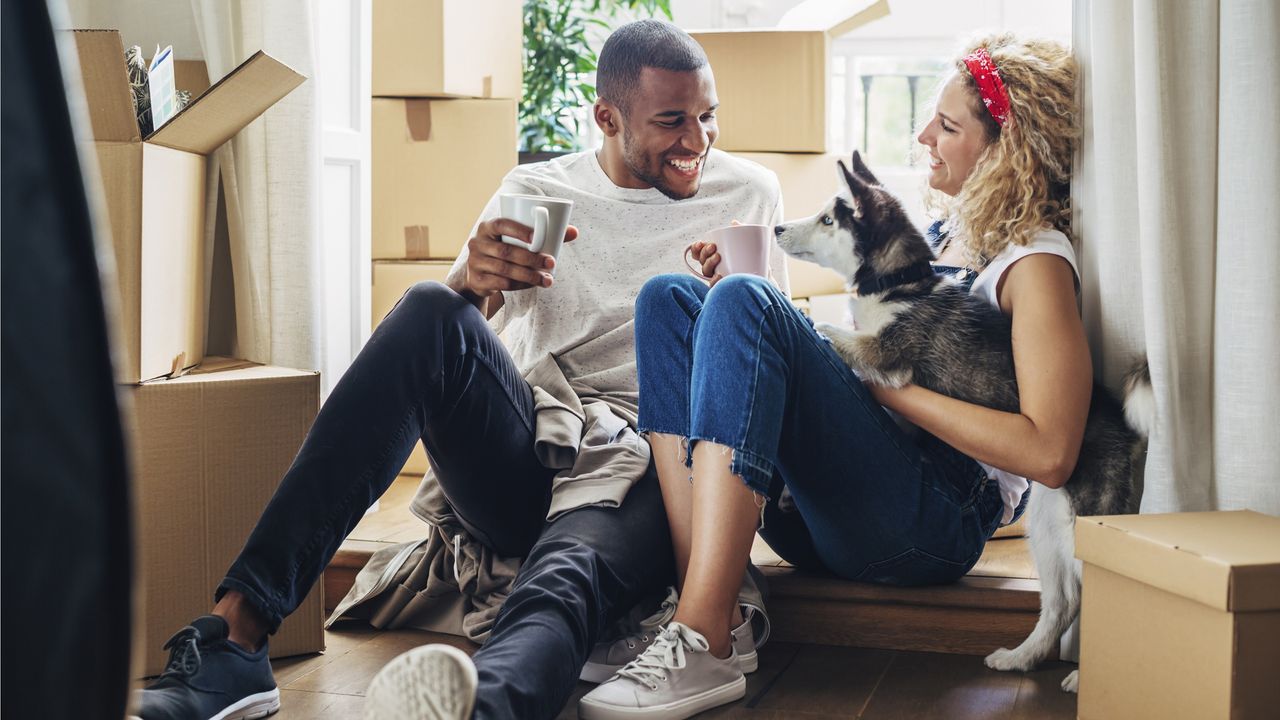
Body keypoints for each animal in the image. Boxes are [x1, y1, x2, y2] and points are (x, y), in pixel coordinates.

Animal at [773, 151, 1157, 691]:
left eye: (829, 219)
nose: (777, 228)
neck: (899, 285)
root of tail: (1123, 424)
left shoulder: (887, 355)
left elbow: (824, 329)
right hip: (1048, 526)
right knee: (1063, 602)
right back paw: (1020, 659)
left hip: (1084, 523)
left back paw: (1088, 679)